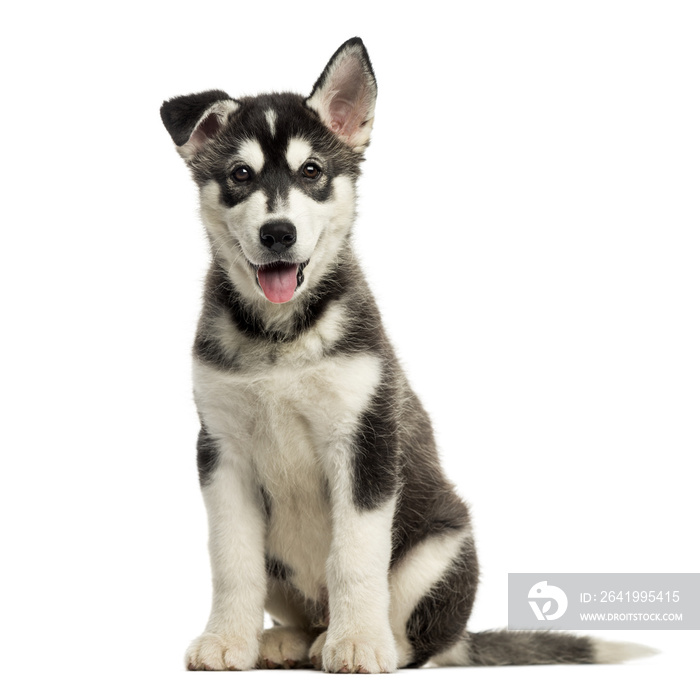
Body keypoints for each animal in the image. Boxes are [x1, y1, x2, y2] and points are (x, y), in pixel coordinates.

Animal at [161, 36, 644, 672]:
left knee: (419, 641)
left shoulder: (365, 442)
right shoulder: (222, 451)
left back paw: (354, 640)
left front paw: (358, 645)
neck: (281, 336)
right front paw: (225, 641)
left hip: (442, 545)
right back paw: (287, 641)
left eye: (312, 172)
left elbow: (355, 557)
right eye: (240, 174)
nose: (278, 234)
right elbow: (231, 559)